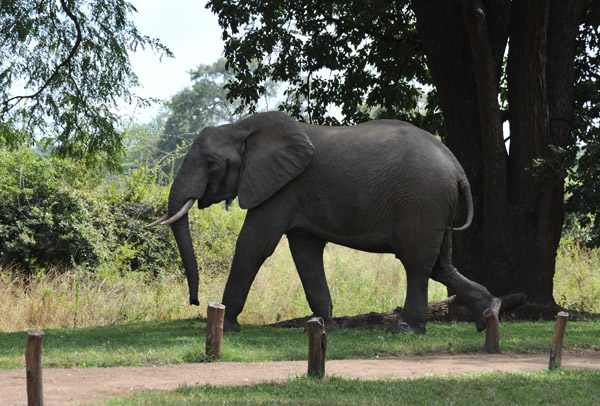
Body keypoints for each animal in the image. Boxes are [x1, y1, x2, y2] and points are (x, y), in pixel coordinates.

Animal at [150, 110, 502, 334]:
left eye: (210, 163)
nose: (195, 301)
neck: (241, 128)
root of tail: (457, 168)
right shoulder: (293, 194)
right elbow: (305, 252)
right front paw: (327, 326)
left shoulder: (282, 188)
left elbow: (254, 244)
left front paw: (228, 326)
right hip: (436, 205)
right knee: (440, 264)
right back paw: (489, 314)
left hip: (422, 199)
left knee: (416, 262)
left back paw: (404, 330)